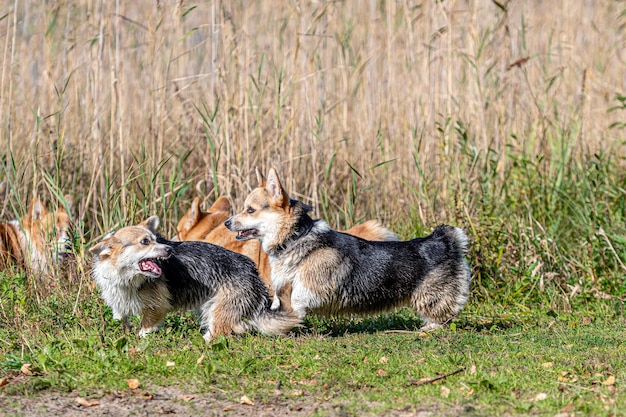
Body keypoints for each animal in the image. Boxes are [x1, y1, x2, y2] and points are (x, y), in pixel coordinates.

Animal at [89, 214, 302, 342]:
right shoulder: (118, 301)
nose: (169, 250)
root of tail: (252, 272)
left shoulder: (156, 307)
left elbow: (147, 327)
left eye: (156, 240)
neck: (127, 276)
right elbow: (121, 317)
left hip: (219, 310)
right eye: (144, 242)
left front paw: (142, 338)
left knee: (221, 331)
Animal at [227, 167, 470, 330]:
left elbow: (297, 297)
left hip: (428, 296)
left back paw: (429, 328)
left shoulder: (316, 285)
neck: (296, 238)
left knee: (440, 314)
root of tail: (444, 239)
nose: (227, 223)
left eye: (250, 210)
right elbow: (277, 301)